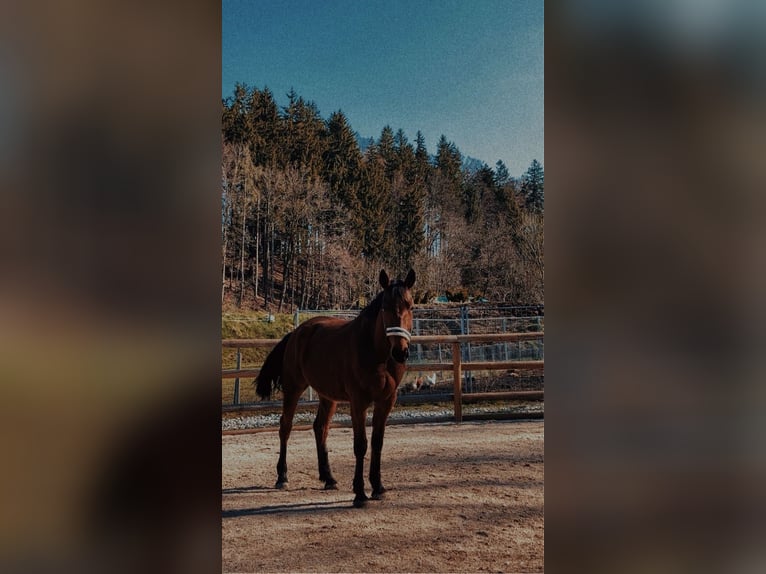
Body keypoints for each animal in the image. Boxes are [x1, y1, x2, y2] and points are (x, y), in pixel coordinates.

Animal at [256, 270, 414, 508]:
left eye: (410, 306)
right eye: (385, 307)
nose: (400, 352)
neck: (376, 353)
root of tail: (297, 332)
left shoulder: (386, 401)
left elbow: (377, 442)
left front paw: (378, 488)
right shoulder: (358, 402)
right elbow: (361, 445)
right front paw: (360, 494)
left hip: (327, 396)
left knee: (320, 427)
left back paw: (328, 478)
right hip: (293, 388)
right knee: (285, 427)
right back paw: (282, 476)